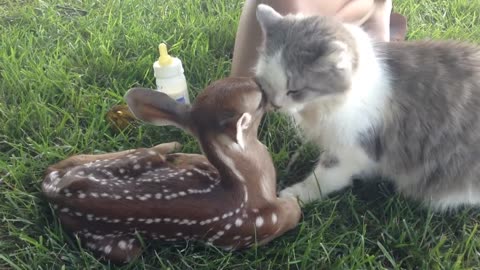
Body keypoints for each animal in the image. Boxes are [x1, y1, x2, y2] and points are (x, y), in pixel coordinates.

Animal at [43, 77, 302, 262]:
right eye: (259, 100)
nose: (266, 84)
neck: (247, 187)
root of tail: (52, 191)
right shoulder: (259, 228)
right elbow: (295, 210)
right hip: (126, 249)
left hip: (130, 159)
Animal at [253, 4, 480, 211]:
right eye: (267, 86)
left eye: (294, 90)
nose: (275, 105)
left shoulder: (354, 151)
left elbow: (320, 180)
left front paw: (293, 196)